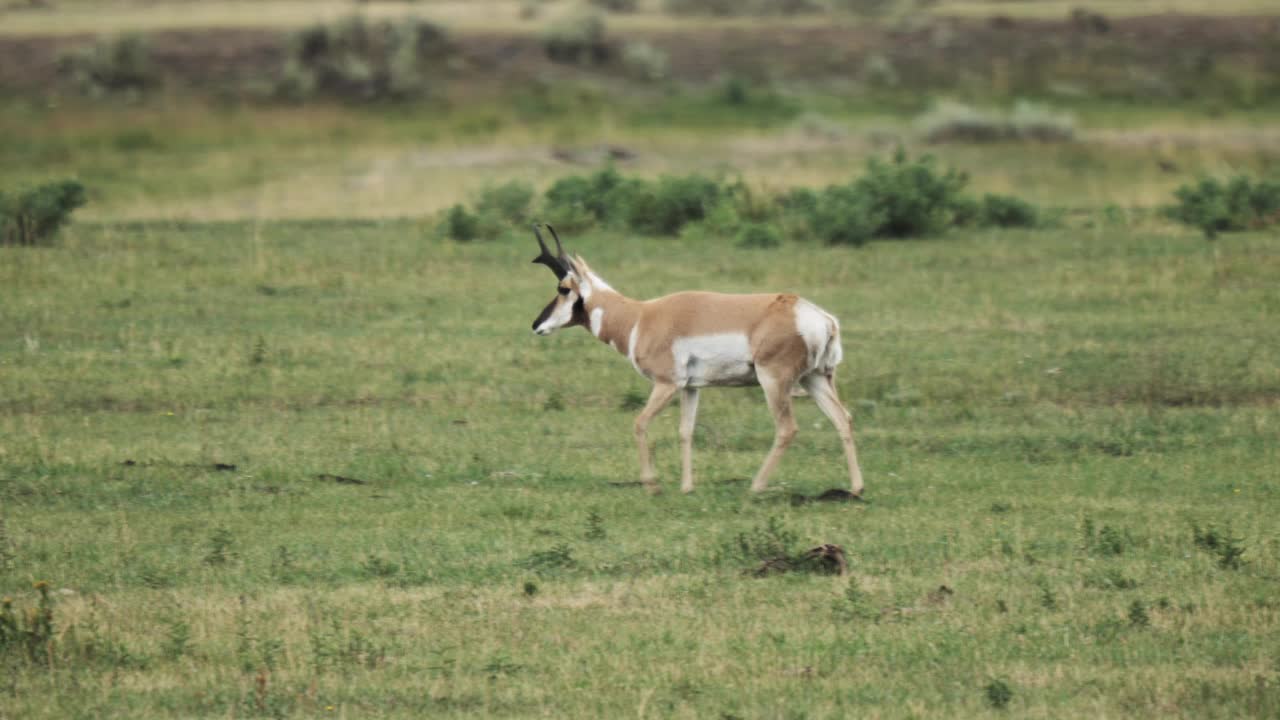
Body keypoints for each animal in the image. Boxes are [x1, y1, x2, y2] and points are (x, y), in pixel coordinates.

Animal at [524, 224, 865, 491]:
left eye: (563, 288)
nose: (536, 325)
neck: (640, 317)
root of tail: (821, 318)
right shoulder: (691, 388)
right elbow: (685, 432)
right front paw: (686, 486)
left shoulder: (666, 384)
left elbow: (639, 422)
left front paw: (651, 484)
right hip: (814, 379)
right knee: (843, 419)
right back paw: (856, 488)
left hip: (774, 382)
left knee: (787, 428)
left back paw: (756, 486)